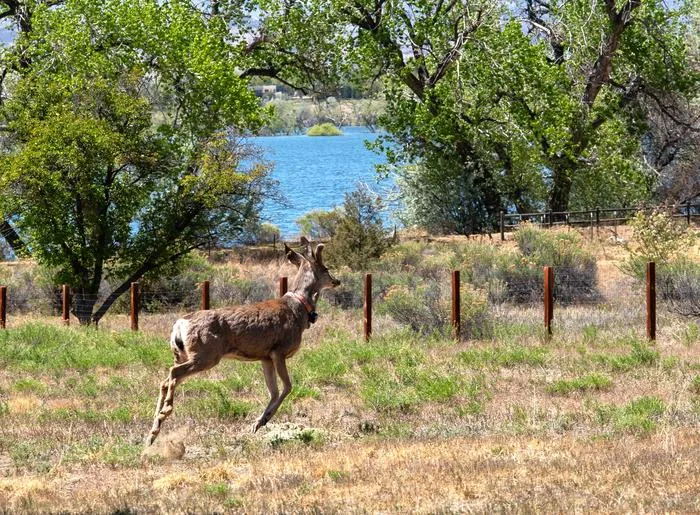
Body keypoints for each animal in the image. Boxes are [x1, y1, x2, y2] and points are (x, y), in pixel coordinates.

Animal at [145, 237, 341, 446]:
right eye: (326, 268)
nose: (337, 281)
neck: (299, 310)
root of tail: (180, 324)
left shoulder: (265, 357)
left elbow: (273, 390)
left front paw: (258, 423)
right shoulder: (278, 350)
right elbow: (287, 386)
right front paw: (262, 420)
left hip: (184, 354)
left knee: (165, 381)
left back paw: (153, 431)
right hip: (206, 354)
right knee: (173, 373)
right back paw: (164, 412)